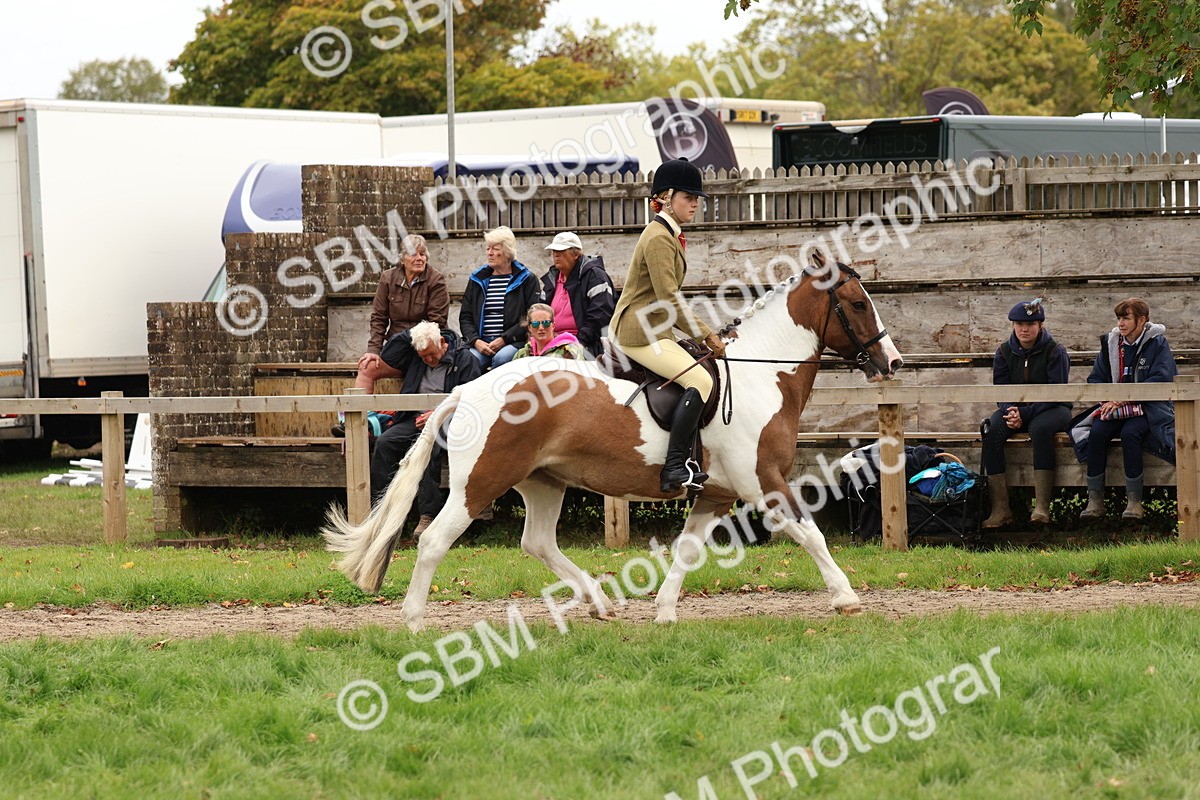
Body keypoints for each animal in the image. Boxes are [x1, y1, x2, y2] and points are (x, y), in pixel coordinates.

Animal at [322, 258, 903, 631]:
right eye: (857, 304)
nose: (893, 362)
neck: (761, 375)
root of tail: (469, 387)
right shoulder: (763, 483)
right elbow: (812, 537)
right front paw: (847, 598)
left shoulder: (716, 494)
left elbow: (687, 550)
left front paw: (665, 611)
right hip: (481, 482)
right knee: (434, 541)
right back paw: (415, 620)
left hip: (543, 482)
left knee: (537, 543)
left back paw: (600, 603)